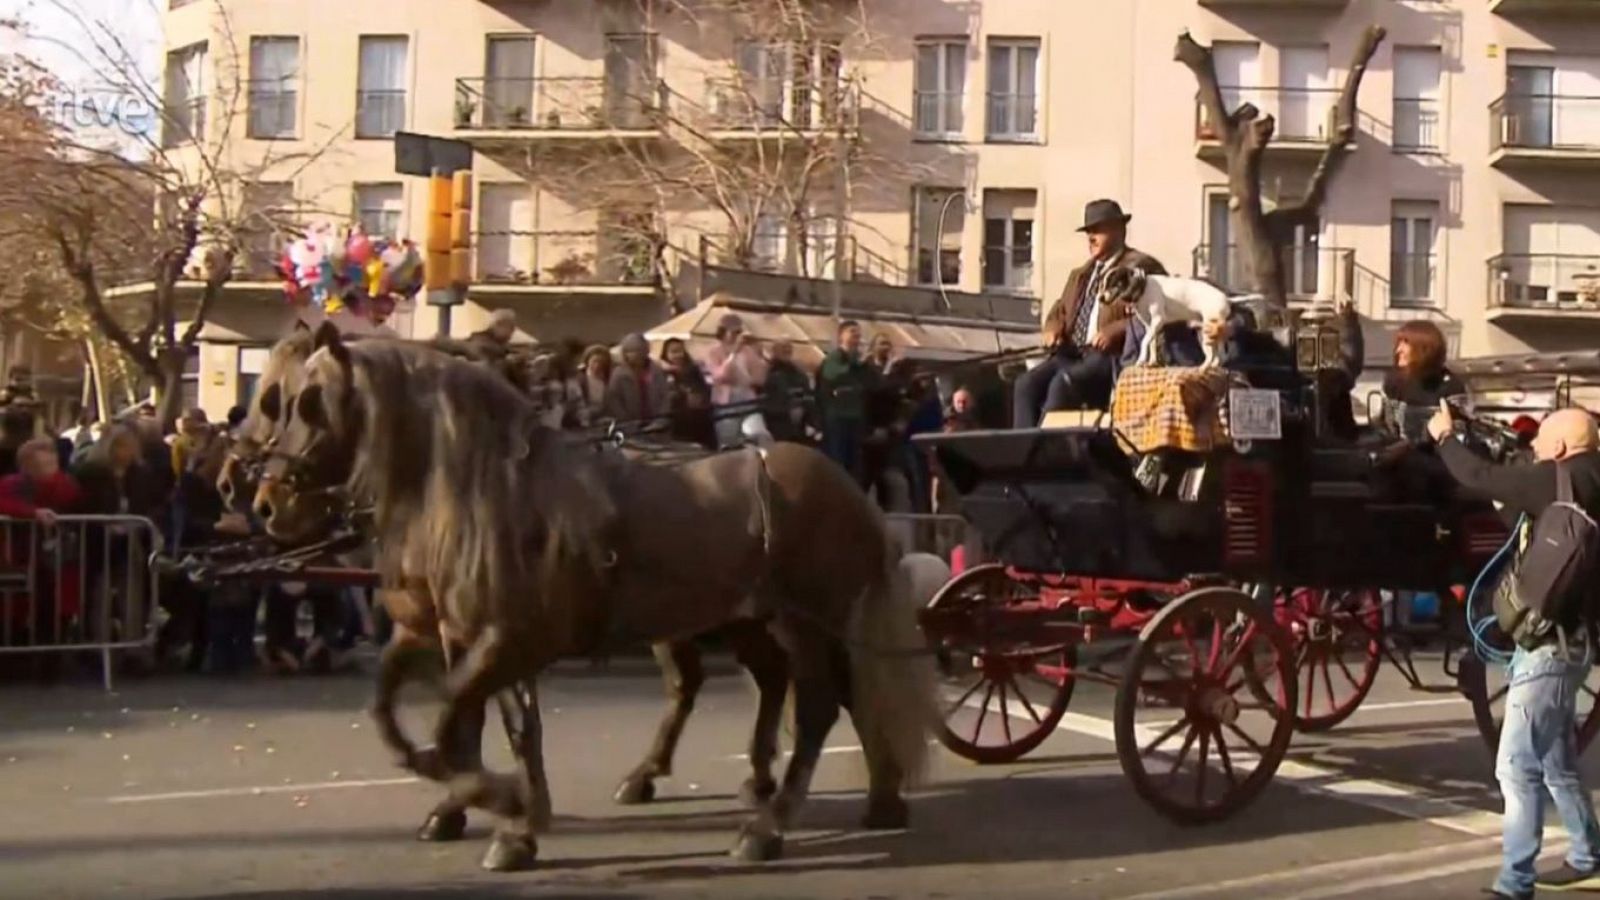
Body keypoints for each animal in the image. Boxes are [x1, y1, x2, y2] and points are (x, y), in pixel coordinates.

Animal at [252, 321, 934, 871]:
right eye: (276, 399)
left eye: (304, 401)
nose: (265, 501)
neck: (487, 490)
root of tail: (850, 490)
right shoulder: (451, 634)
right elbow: (416, 719)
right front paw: (497, 813)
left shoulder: (508, 640)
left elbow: (456, 726)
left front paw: (508, 805)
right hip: (757, 621)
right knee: (804, 688)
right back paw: (869, 798)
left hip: (804, 621)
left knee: (818, 704)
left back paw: (768, 825)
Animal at [1100, 267, 1248, 366]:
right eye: (1103, 285)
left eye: (1113, 283)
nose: (1100, 298)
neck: (1143, 289)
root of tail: (1227, 299)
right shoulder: (1150, 325)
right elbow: (1152, 343)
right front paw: (1152, 362)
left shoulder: (1158, 320)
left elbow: (1144, 342)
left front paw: (1141, 360)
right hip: (1210, 333)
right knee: (1220, 356)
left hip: (1208, 333)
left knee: (1214, 356)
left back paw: (1203, 368)